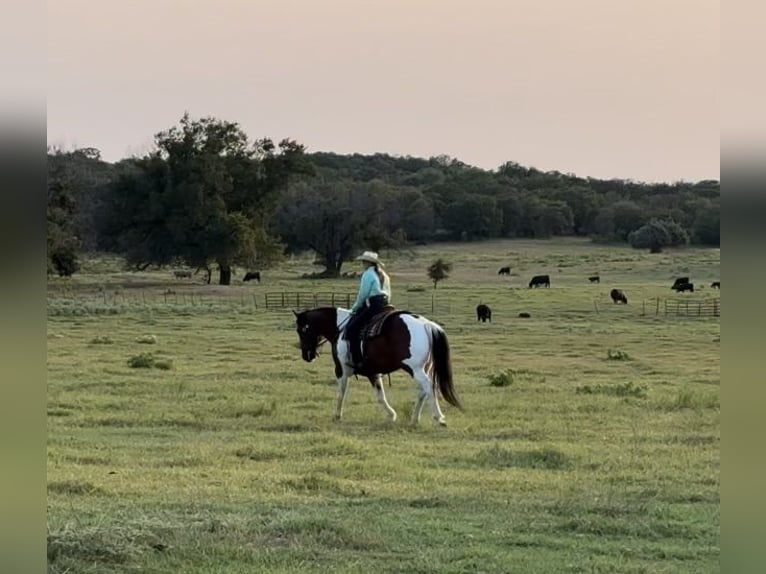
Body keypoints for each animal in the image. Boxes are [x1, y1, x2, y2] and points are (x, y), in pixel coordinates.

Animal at [294, 308, 462, 426]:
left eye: (302, 330)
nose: (306, 355)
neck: (340, 329)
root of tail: (427, 324)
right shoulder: (373, 373)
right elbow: (381, 396)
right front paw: (391, 415)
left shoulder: (340, 370)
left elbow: (340, 394)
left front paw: (337, 416)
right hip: (424, 368)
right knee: (423, 391)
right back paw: (414, 419)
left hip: (415, 369)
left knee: (428, 386)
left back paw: (438, 417)